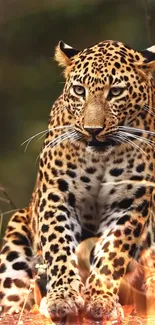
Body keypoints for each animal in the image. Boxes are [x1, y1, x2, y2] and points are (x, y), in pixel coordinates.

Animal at [0, 39, 155, 320]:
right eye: (79, 90)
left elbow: (113, 251)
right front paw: (62, 297)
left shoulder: (130, 201)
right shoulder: (55, 194)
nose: (93, 130)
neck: (101, 158)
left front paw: (100, 298)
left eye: (116, 92)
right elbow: (58, 244)